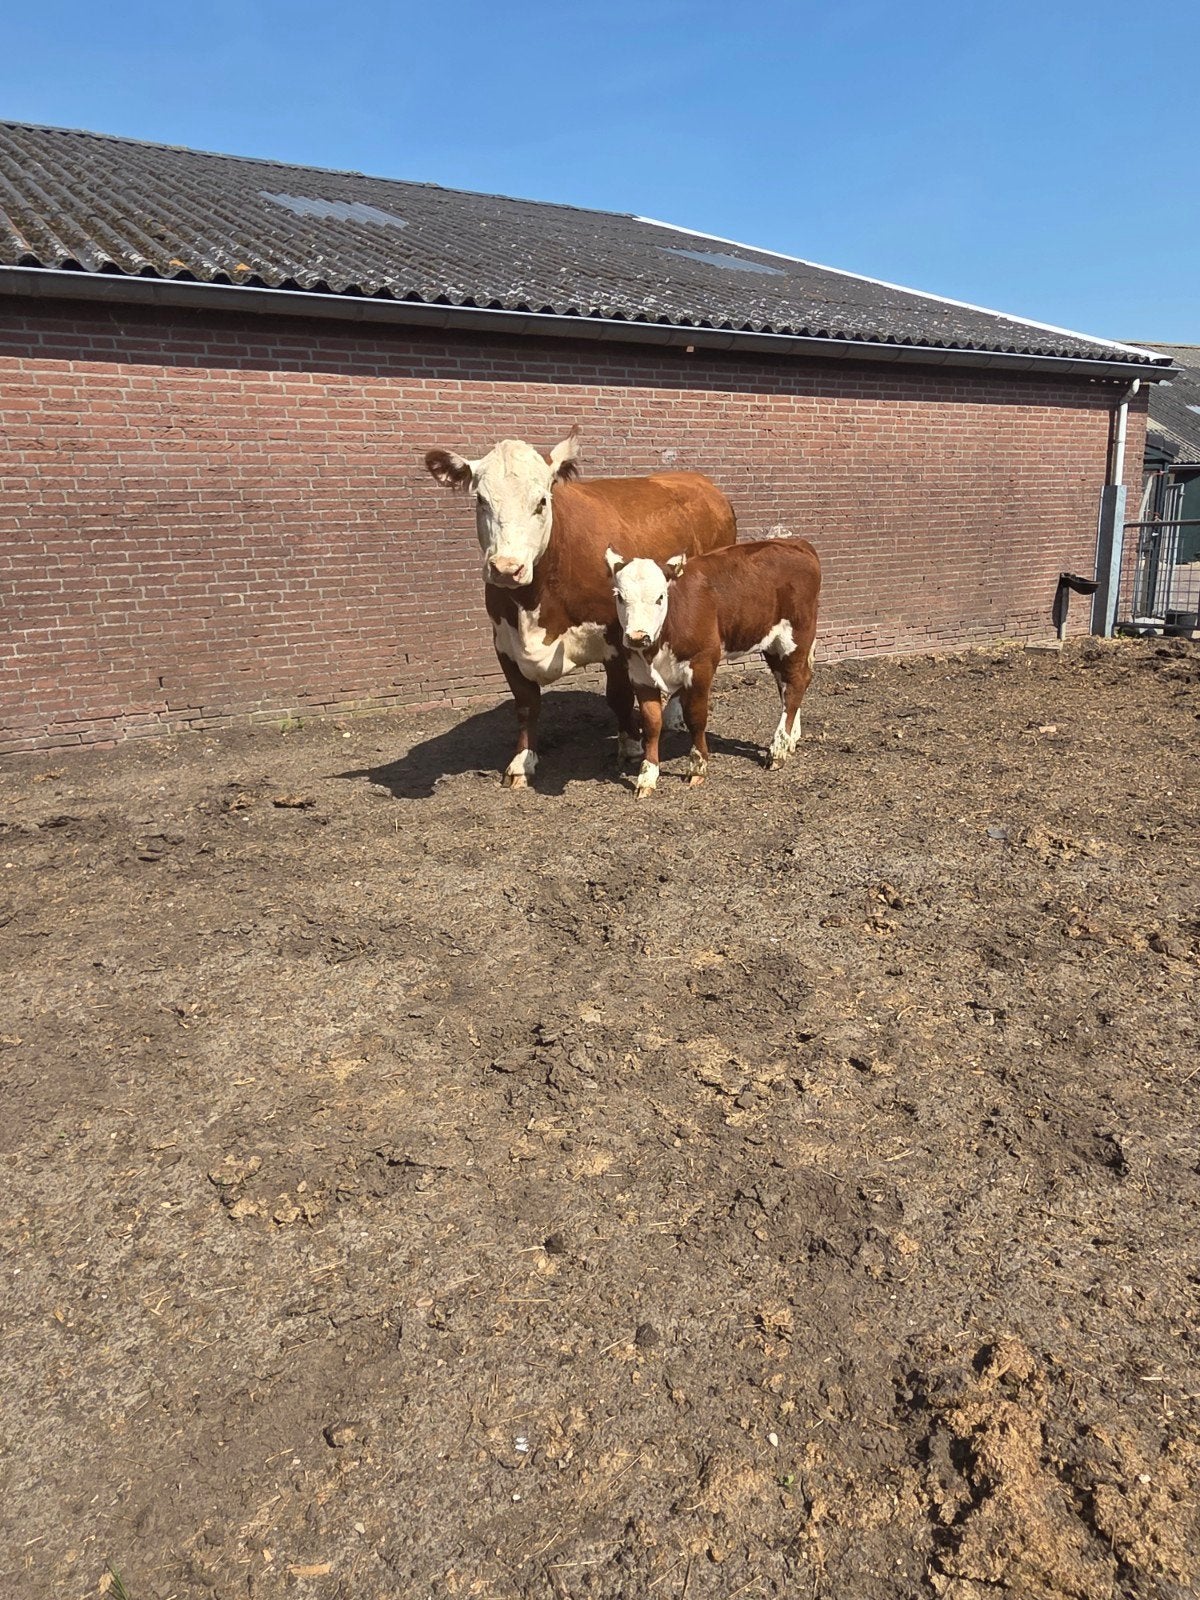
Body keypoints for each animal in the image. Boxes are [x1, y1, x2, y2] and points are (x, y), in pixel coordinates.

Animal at [424, 429, 737, 786]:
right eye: (481, 500)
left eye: (541, 501)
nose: (506, 568)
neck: (534, 601)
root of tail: (697, 481)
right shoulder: (503, 642)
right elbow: (526, 704)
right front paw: (522, 761)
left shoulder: (616, 637)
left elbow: (618, 696)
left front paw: (630, 746)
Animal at [605, 538, 821, 798]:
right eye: (619, 596)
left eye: (660, 597)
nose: (637, 637)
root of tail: (795, 542)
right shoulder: (639, 674)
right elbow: (651, 724)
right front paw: (647, 776)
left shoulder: (701, 665)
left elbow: (695, 717)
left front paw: (697, 767)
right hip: (772, 643)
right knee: (787, 685)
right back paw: (790, 740)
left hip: (796, 636)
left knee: (796, 683)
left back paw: (777, 749)